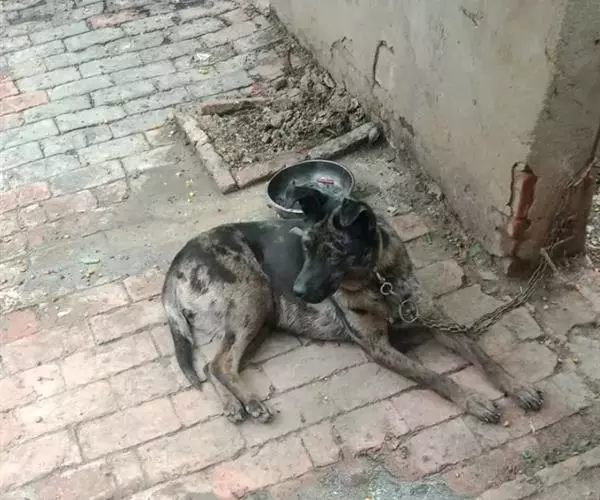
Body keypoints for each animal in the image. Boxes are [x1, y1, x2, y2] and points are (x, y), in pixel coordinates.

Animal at [162, 186, 544, 424]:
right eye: (306, 247)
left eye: (333, 253)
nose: (296, 290)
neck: (378, 280)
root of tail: (178, 259)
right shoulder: (378, 347)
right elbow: (435, 376)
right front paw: (473, 400)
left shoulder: (440, 322)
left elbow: (485, 358)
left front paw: (517, 387)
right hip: (253, 303)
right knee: (221, 363)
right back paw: (251, 402)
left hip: (263, 318)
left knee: (212, 365)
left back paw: (233, 404)